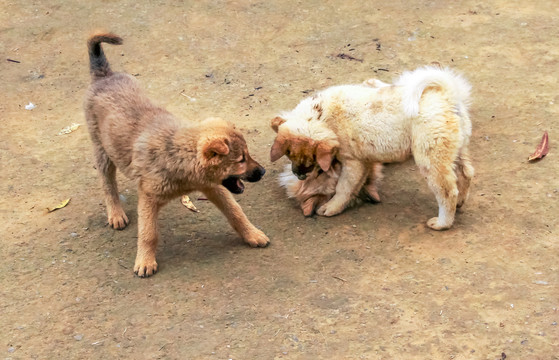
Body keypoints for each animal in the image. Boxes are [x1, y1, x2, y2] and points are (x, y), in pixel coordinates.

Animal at [83, 33, 272, 276]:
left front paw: (252, 234)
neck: (179, 157)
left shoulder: (212, 187)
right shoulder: (149, 197)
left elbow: (236, 212)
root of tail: (104, 76)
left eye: (248, 155)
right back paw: (115, 214)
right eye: (241, 160)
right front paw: (145, 261)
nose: (263, 171)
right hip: (102, 151)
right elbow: (148, 233)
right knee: (107, 183)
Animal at [272, 67, 472, 231]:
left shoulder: (352, 162)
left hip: (430, 158)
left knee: (447, 191)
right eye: (289, 154)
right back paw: (460, 202)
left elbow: (343, 188)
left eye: (312, 159)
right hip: (456, 150)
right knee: (466, 173)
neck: (321, 116)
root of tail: (448, 95)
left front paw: (331, 207)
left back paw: (442, 223)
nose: (298, 174)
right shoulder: (364, 161)